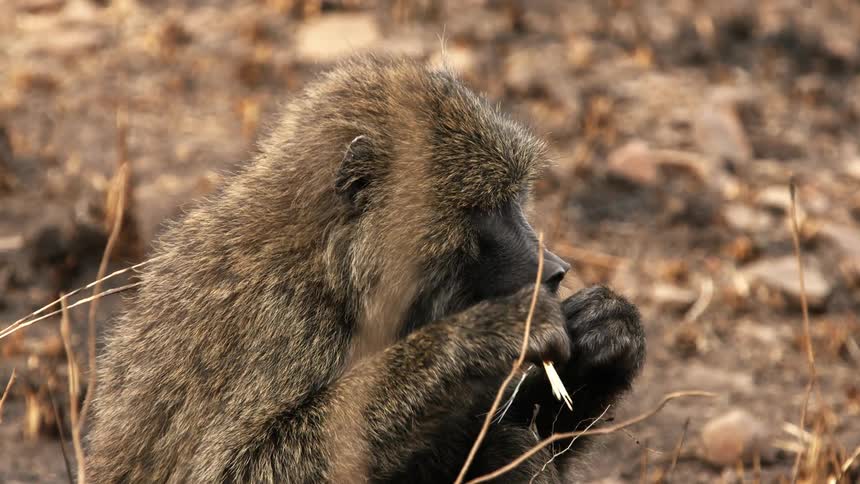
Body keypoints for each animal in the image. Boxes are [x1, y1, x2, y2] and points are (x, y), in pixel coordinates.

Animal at [86, 55, 645, 483]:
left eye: (514, 199)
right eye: (485, 209)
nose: (555, 270)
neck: (333, 270)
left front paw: (604, 334)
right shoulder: (279, 320)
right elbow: (242, 467)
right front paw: (485, 334)